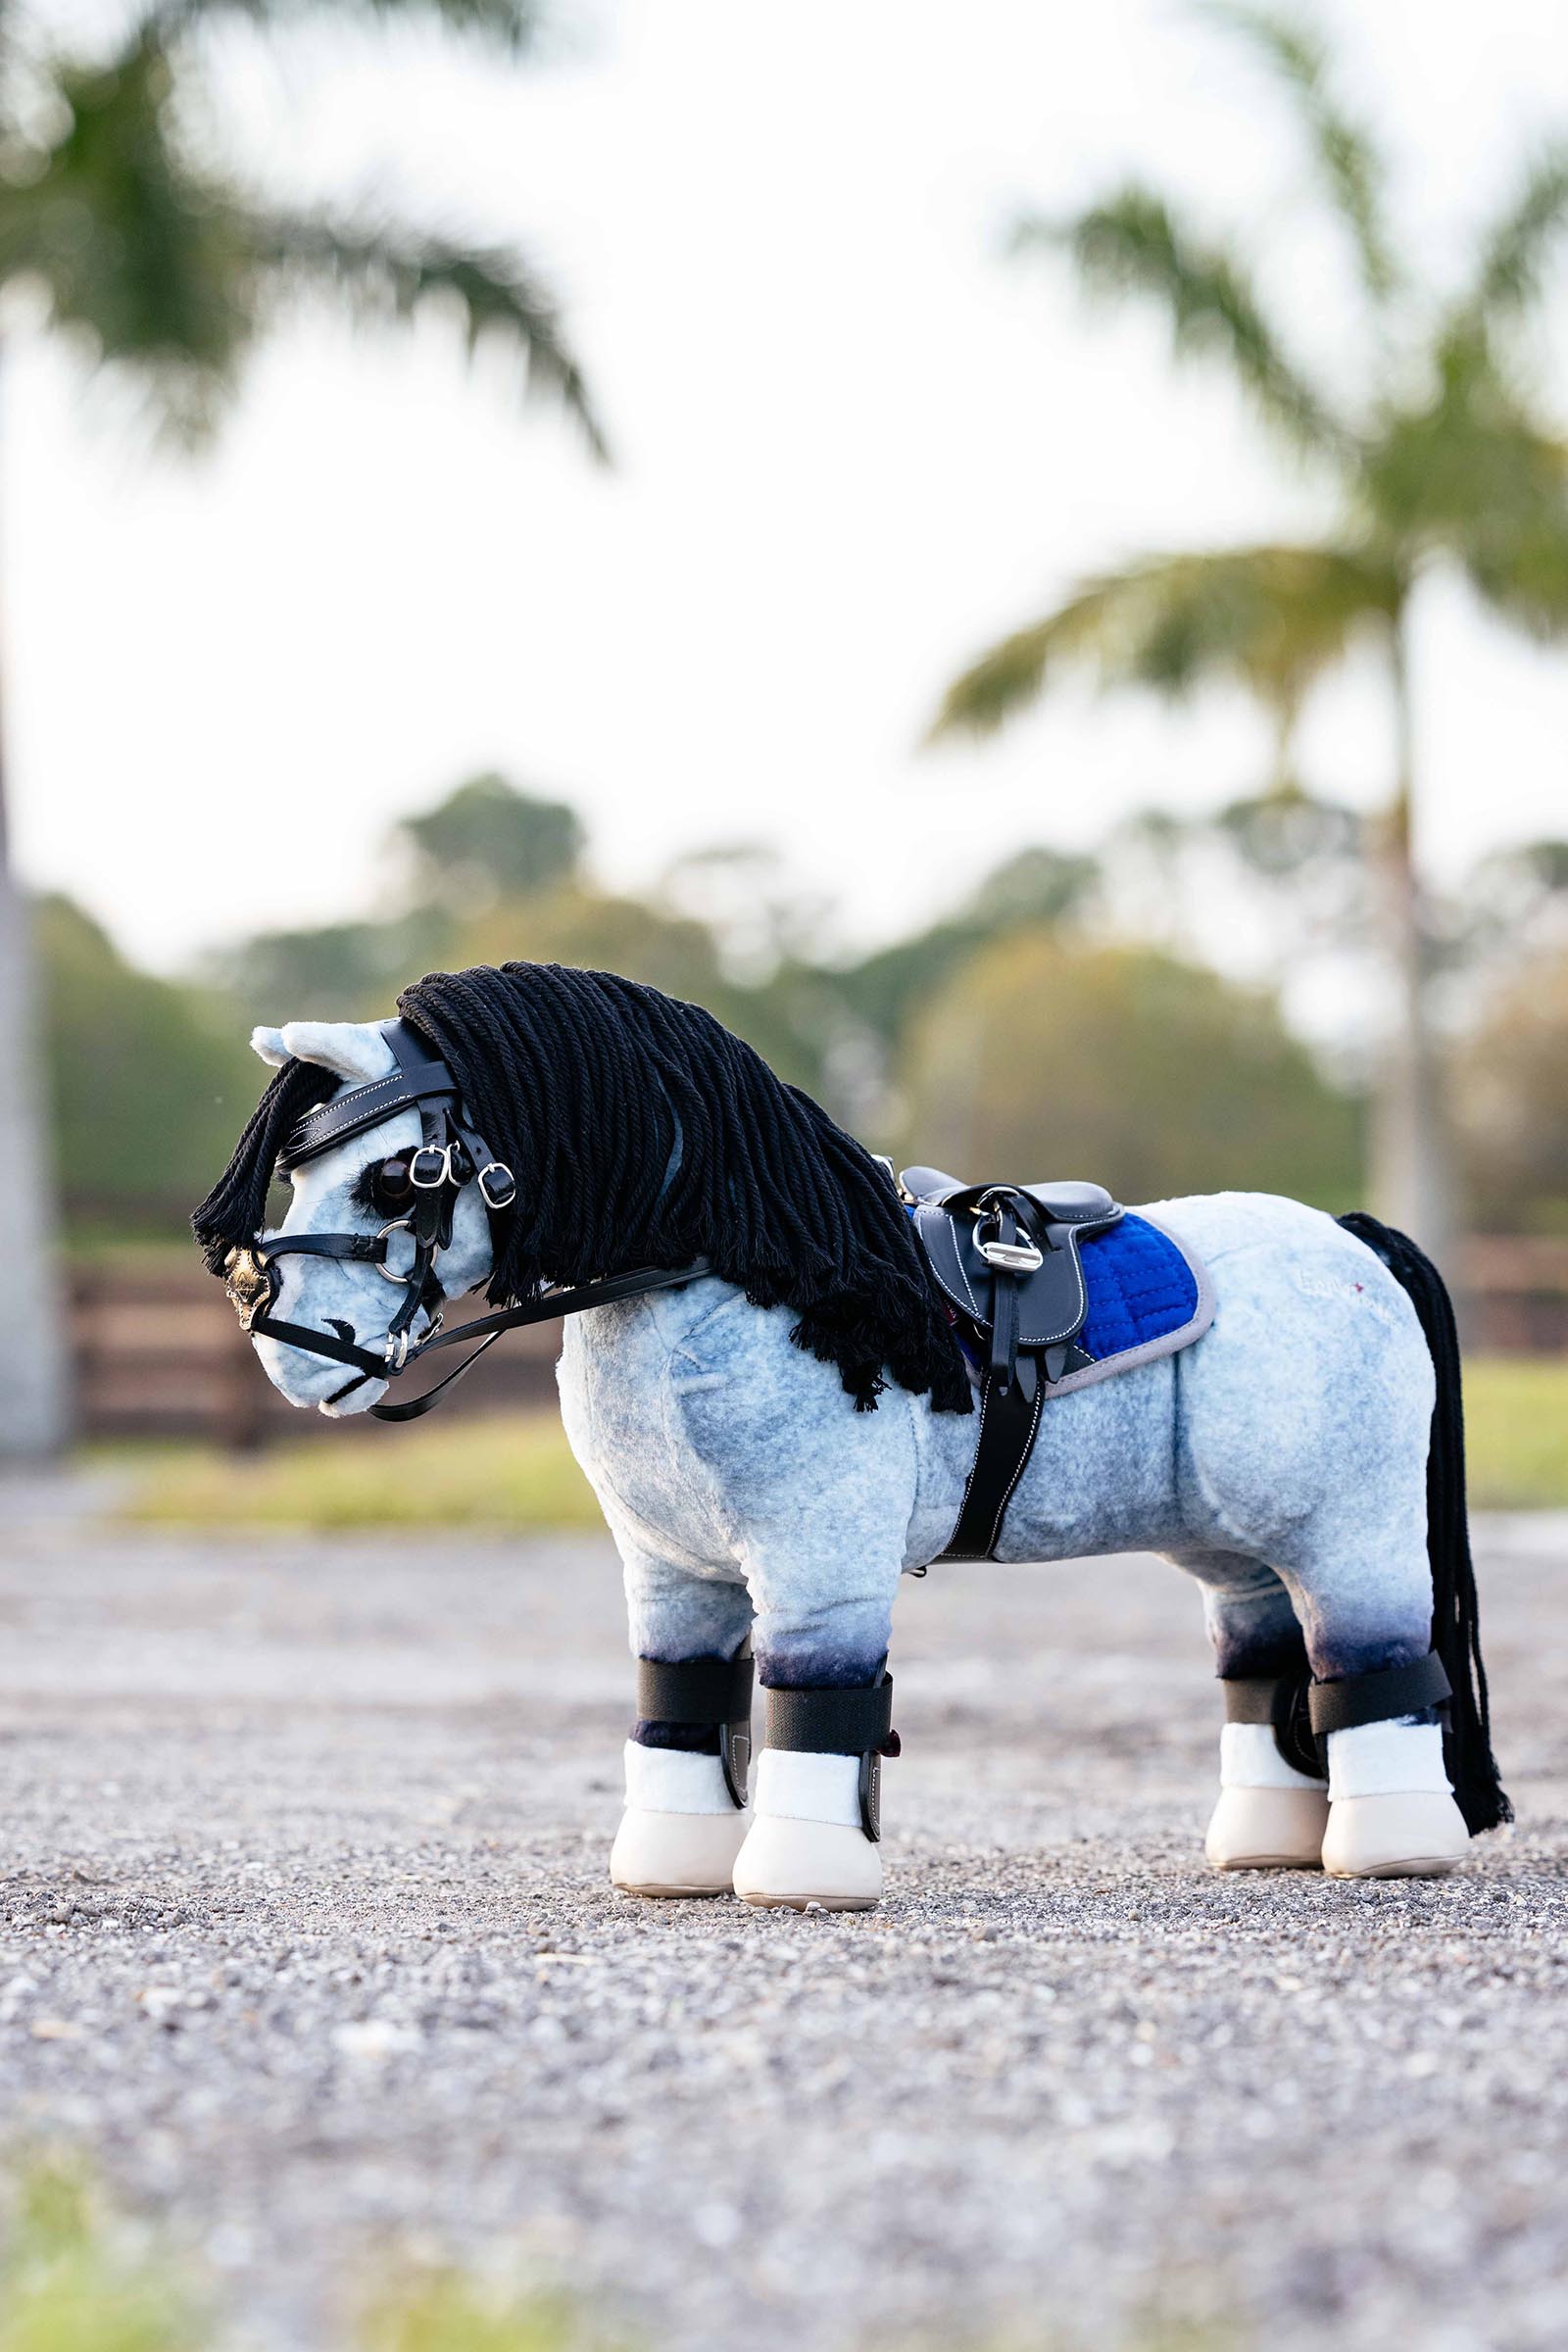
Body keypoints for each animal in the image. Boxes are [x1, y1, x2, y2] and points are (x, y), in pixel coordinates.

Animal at [193, 961, 1508, 1913]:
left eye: (395, 1178)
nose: (288, 1346)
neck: (742, 1270)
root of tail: (1348, 1238)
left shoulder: (817, 1560)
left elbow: (809, 1702)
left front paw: (800, 1881)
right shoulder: (670, 1571)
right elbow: (680, 1701)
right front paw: (673, 1869)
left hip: (1349, 1529)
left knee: (1372, 1664)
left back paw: (1389, 1848)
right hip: (1235, 1547)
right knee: (1265, 1662)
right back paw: (1266, 1847)